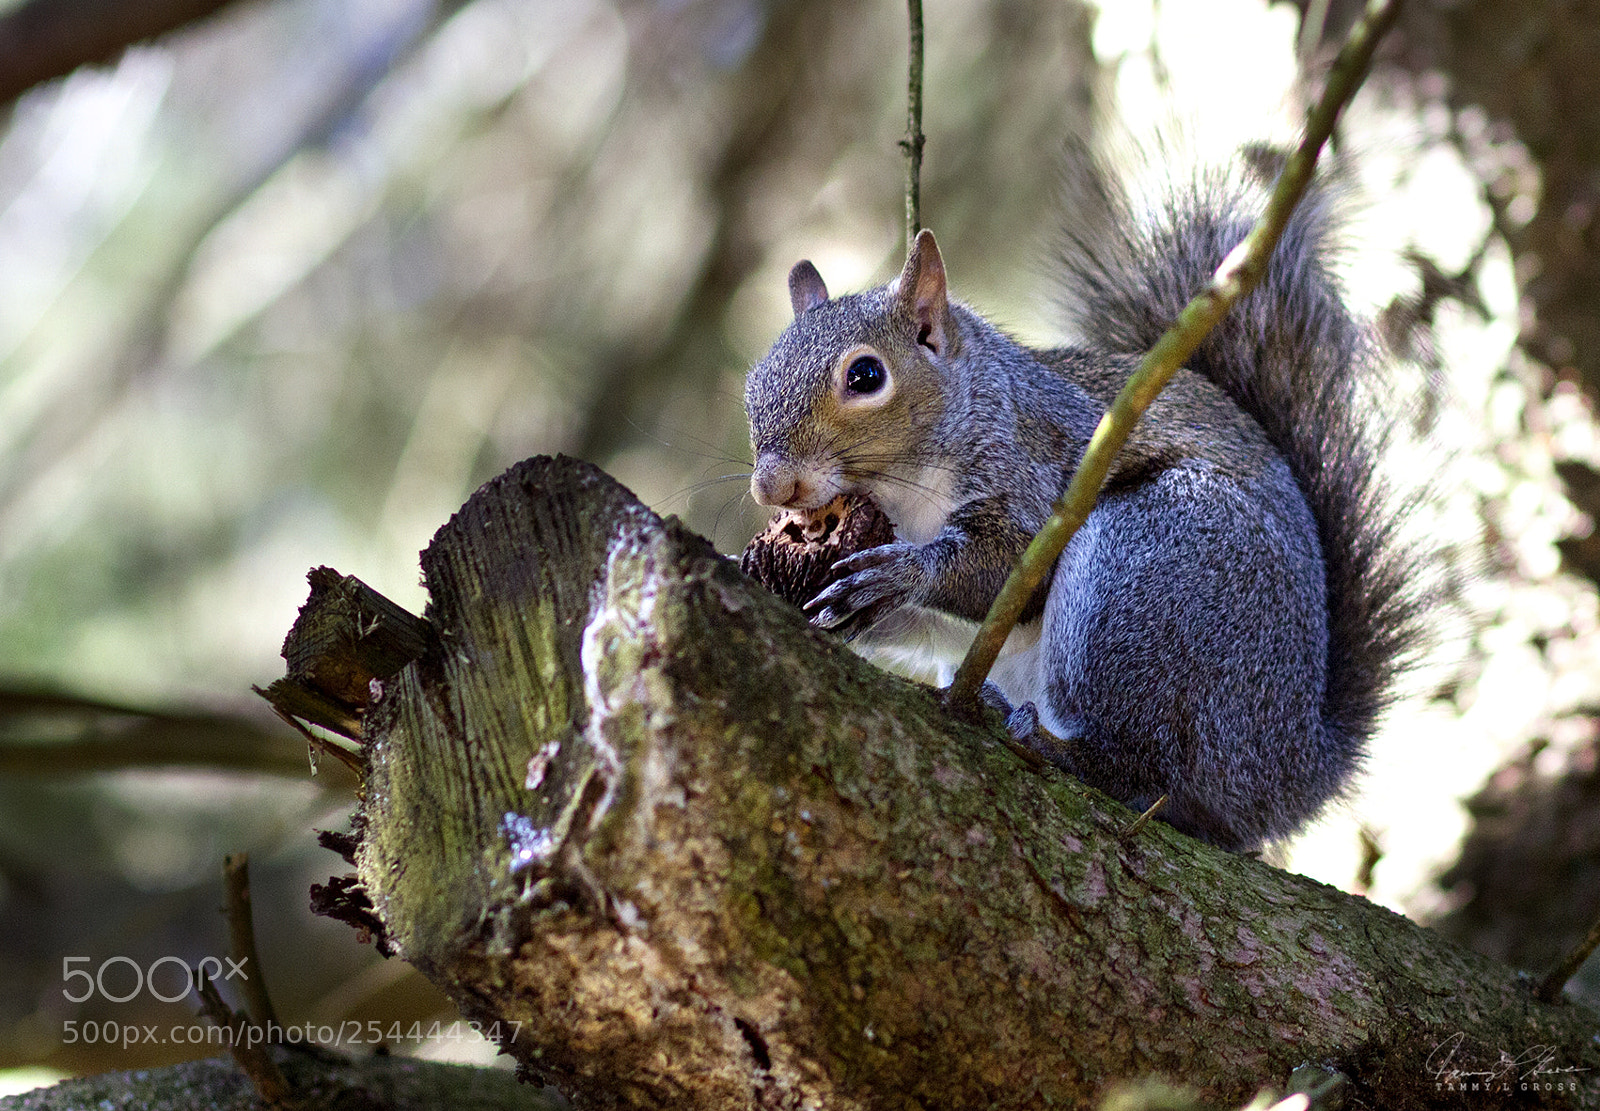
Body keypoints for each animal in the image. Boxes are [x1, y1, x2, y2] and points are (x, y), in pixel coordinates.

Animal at [742, 151, 1422, 853]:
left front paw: (902, 573)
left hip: (1152, 582)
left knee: (1142, 764)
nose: (772, 487)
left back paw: (1061, 748)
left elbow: (1003, 573)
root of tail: (1291, 771)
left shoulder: (1034, 470)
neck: (904, 493)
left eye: (866, 376)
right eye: (754, 382)